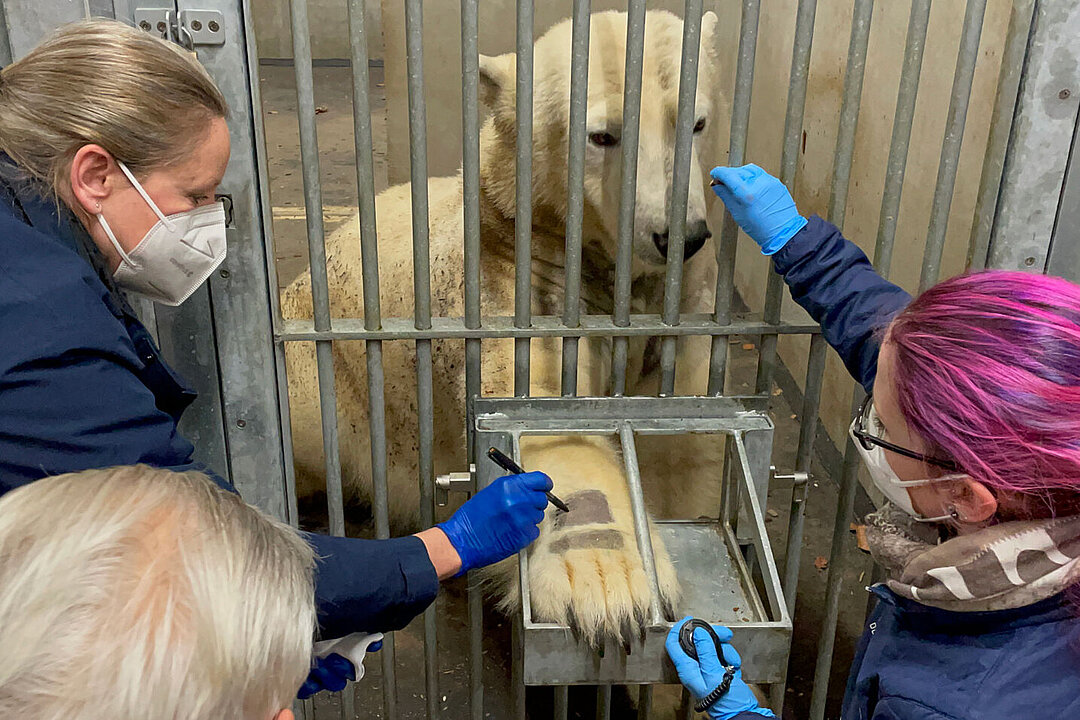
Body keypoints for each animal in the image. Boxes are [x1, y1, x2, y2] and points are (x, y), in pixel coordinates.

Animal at [285, 9, 725, 647]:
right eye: (602, 135)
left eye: (695, 121)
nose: (679, 237)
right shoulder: (521, 281)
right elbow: (544, 412)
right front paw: (604, 583)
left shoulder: (684, 303)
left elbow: (686, 439)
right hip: (321, 388)